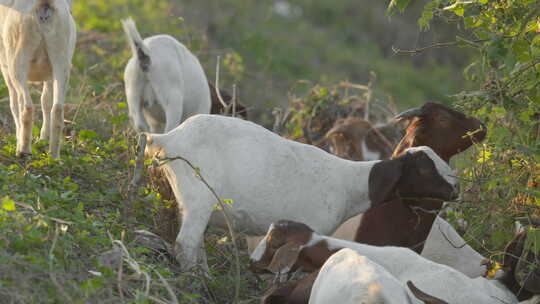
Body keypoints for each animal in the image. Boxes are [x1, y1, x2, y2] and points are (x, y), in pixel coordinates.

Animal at [0, 1, 76, 159]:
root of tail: (44, 4)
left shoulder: (4, 68)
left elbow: (14, 104)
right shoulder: (49, 76)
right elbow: (45, 101)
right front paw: (43, 138)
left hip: (17, 62)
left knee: (26, 106)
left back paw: (23, 150)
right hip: (61, 61)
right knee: (57, 109)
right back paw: (54, 156)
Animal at [144, 114, 460, 270]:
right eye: (424, 169)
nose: (456, 187)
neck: (351, 184)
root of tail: (167, 138)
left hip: (177, 195)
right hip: (198, 194)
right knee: (186, 245)